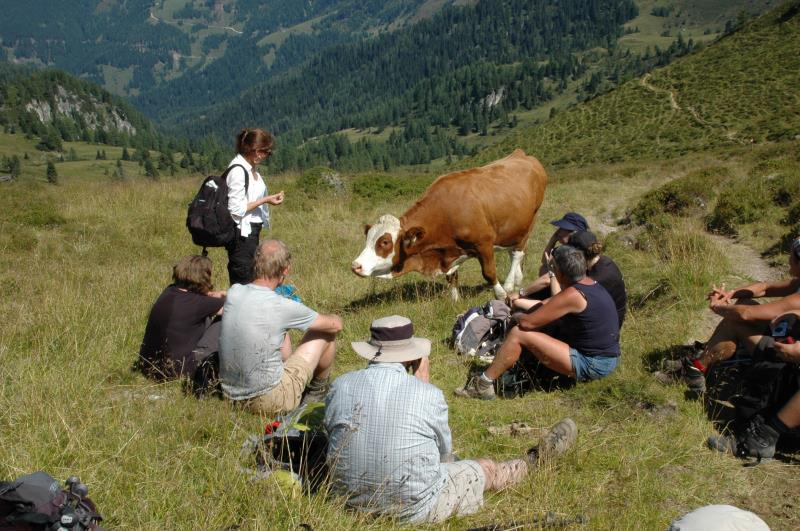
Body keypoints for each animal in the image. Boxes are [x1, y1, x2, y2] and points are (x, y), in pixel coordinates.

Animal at [352, 150, 548, 300]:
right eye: (368, 239)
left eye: (384, 242)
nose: (355, 266)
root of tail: (521, 154)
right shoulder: (449, 252)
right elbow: (452, 277)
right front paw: (455, 300)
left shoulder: (483, 243)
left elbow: (489, 272)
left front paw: (500, 294)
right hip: (513, 228)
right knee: (515, 251)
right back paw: (517, 279)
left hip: (532, 219)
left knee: (518, 252)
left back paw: (509, 284)